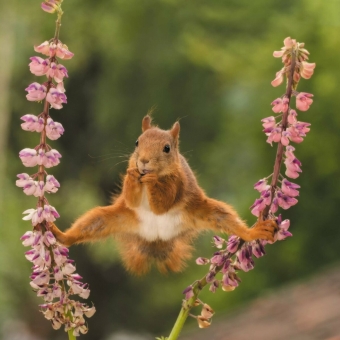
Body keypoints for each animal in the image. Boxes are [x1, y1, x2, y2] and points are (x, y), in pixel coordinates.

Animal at [50, 115, 276, 274]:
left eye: (167, 148)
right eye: (137, 142)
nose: (143, 161)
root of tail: (157, 238)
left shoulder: (178, 183)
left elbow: (162, 204)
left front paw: (151, 181)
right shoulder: (131, 197)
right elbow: (132, 199)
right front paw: (133, 175)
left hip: (205, 211)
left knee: (228, 220)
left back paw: (254, 232)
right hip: (112, 218)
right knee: (87, 226)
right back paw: (59, 234)